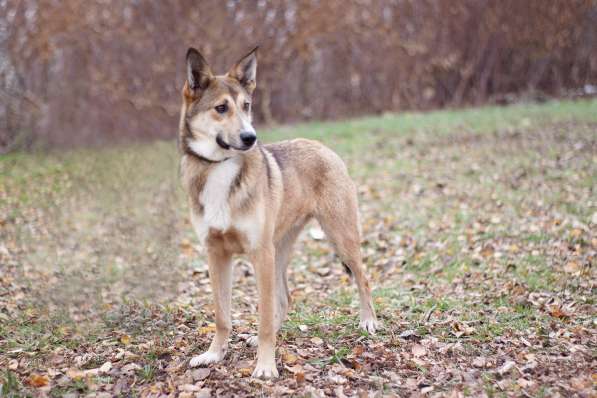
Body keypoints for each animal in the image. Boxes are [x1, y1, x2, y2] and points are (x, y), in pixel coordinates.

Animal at [179, 46, 380, 380]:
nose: (251, 138)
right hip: (279, 251)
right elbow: (222, 315)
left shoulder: (259, 254)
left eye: (246, 106)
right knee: (285, 297)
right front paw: (213, 355)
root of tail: (322, 146)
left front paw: (265, 366)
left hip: (339, 238)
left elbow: (262, 318)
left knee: (362, 279)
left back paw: (368, 321)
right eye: (221, 108)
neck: (220, 167)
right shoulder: (216, 254)